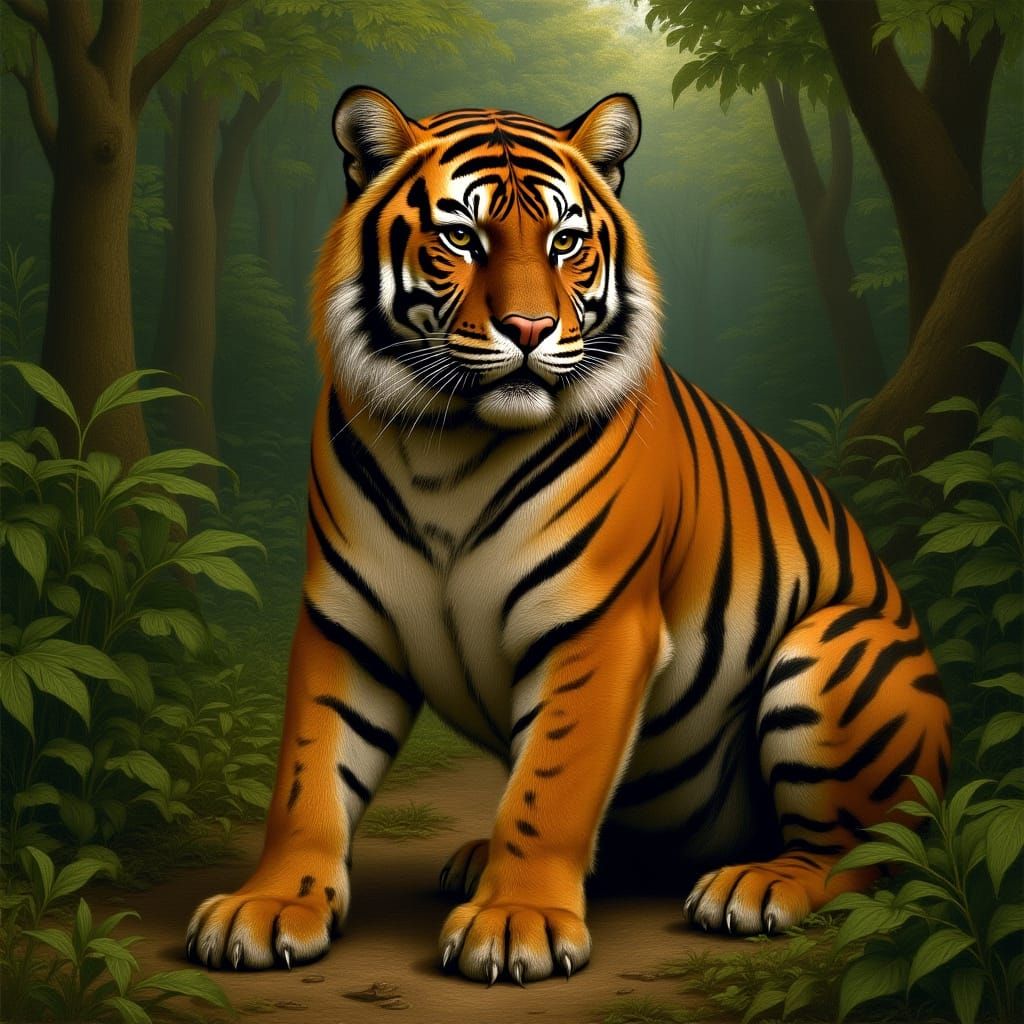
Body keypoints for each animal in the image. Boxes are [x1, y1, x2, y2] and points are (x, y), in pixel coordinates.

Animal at [186, 86, 951, 985]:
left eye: (565, 242)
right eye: (461, 238)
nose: (527, 328)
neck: (447, 450)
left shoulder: (597, 622)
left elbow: (549, 785)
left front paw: (517, 921)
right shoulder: (348, 622)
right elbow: (309, 773)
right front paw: (272, 905)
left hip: (830, 646)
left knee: (862, 853)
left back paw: (758, 887)